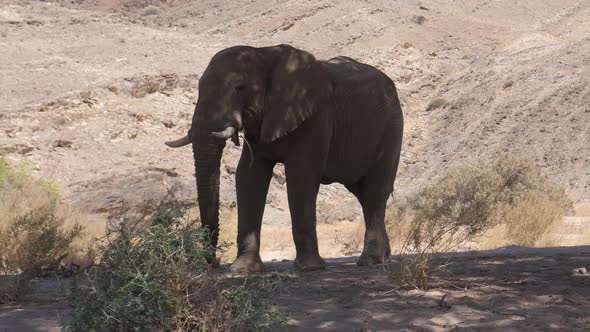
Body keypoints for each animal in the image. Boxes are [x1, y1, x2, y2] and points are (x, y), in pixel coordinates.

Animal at [166, 44, 408, 272]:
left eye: (239, 88)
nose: (213, 263)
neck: (264, 54)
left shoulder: (315, 116)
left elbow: (301, 175)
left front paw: (310, 268)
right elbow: (248, 176)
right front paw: (243, 270)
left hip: (392, 127)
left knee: (375, 191)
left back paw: (370, 261)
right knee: (364, 195)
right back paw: (384, 257)